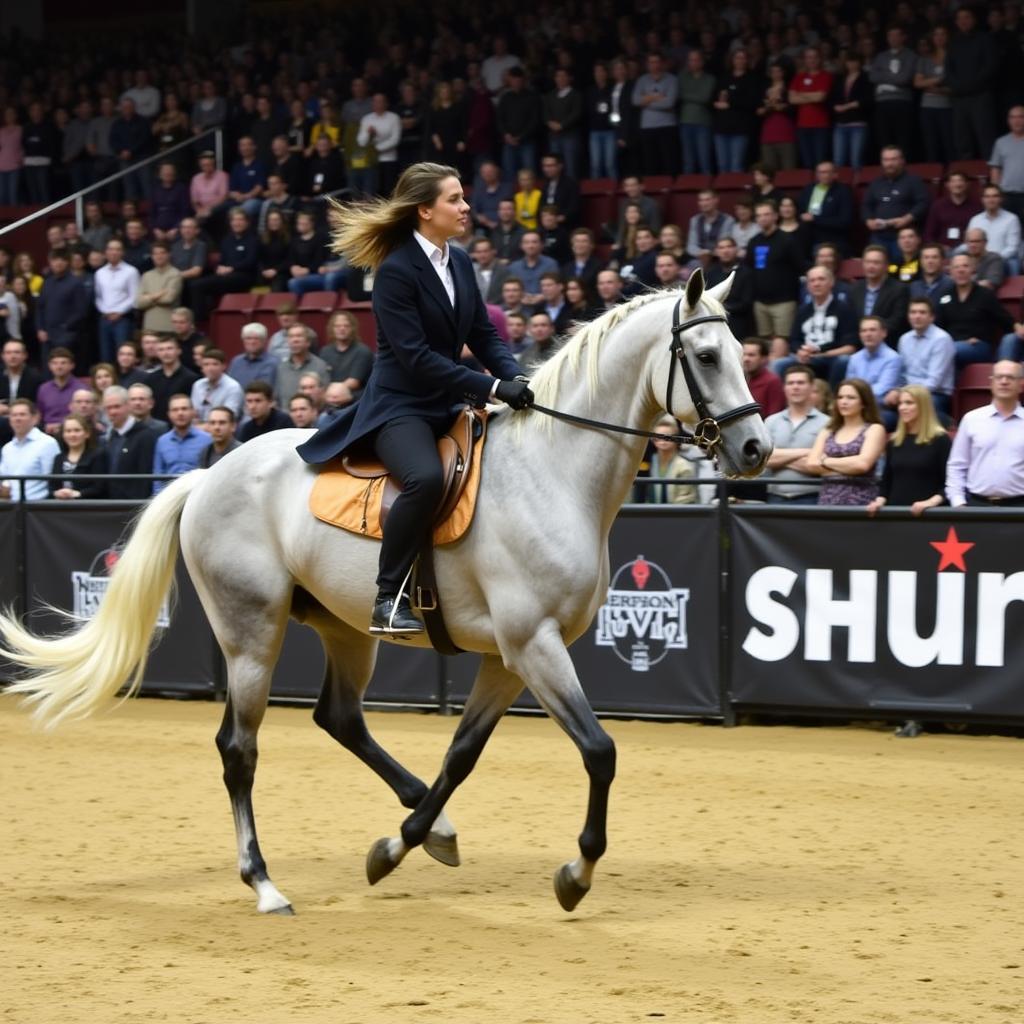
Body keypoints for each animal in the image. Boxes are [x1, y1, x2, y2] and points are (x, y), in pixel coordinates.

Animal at [0, 270, 770, 913]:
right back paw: (265, 884)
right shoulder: (534, 646)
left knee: (340, 719)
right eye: (706, 357)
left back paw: (432, 831)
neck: (552, 473)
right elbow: (599, 750)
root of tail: (210, 474)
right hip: (251, 634)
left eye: (741, 350)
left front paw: (398, 845)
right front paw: (575, 875)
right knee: (238, 749)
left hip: (344, 630)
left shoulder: (508, 660)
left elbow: (461, 755)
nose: (756, 450)